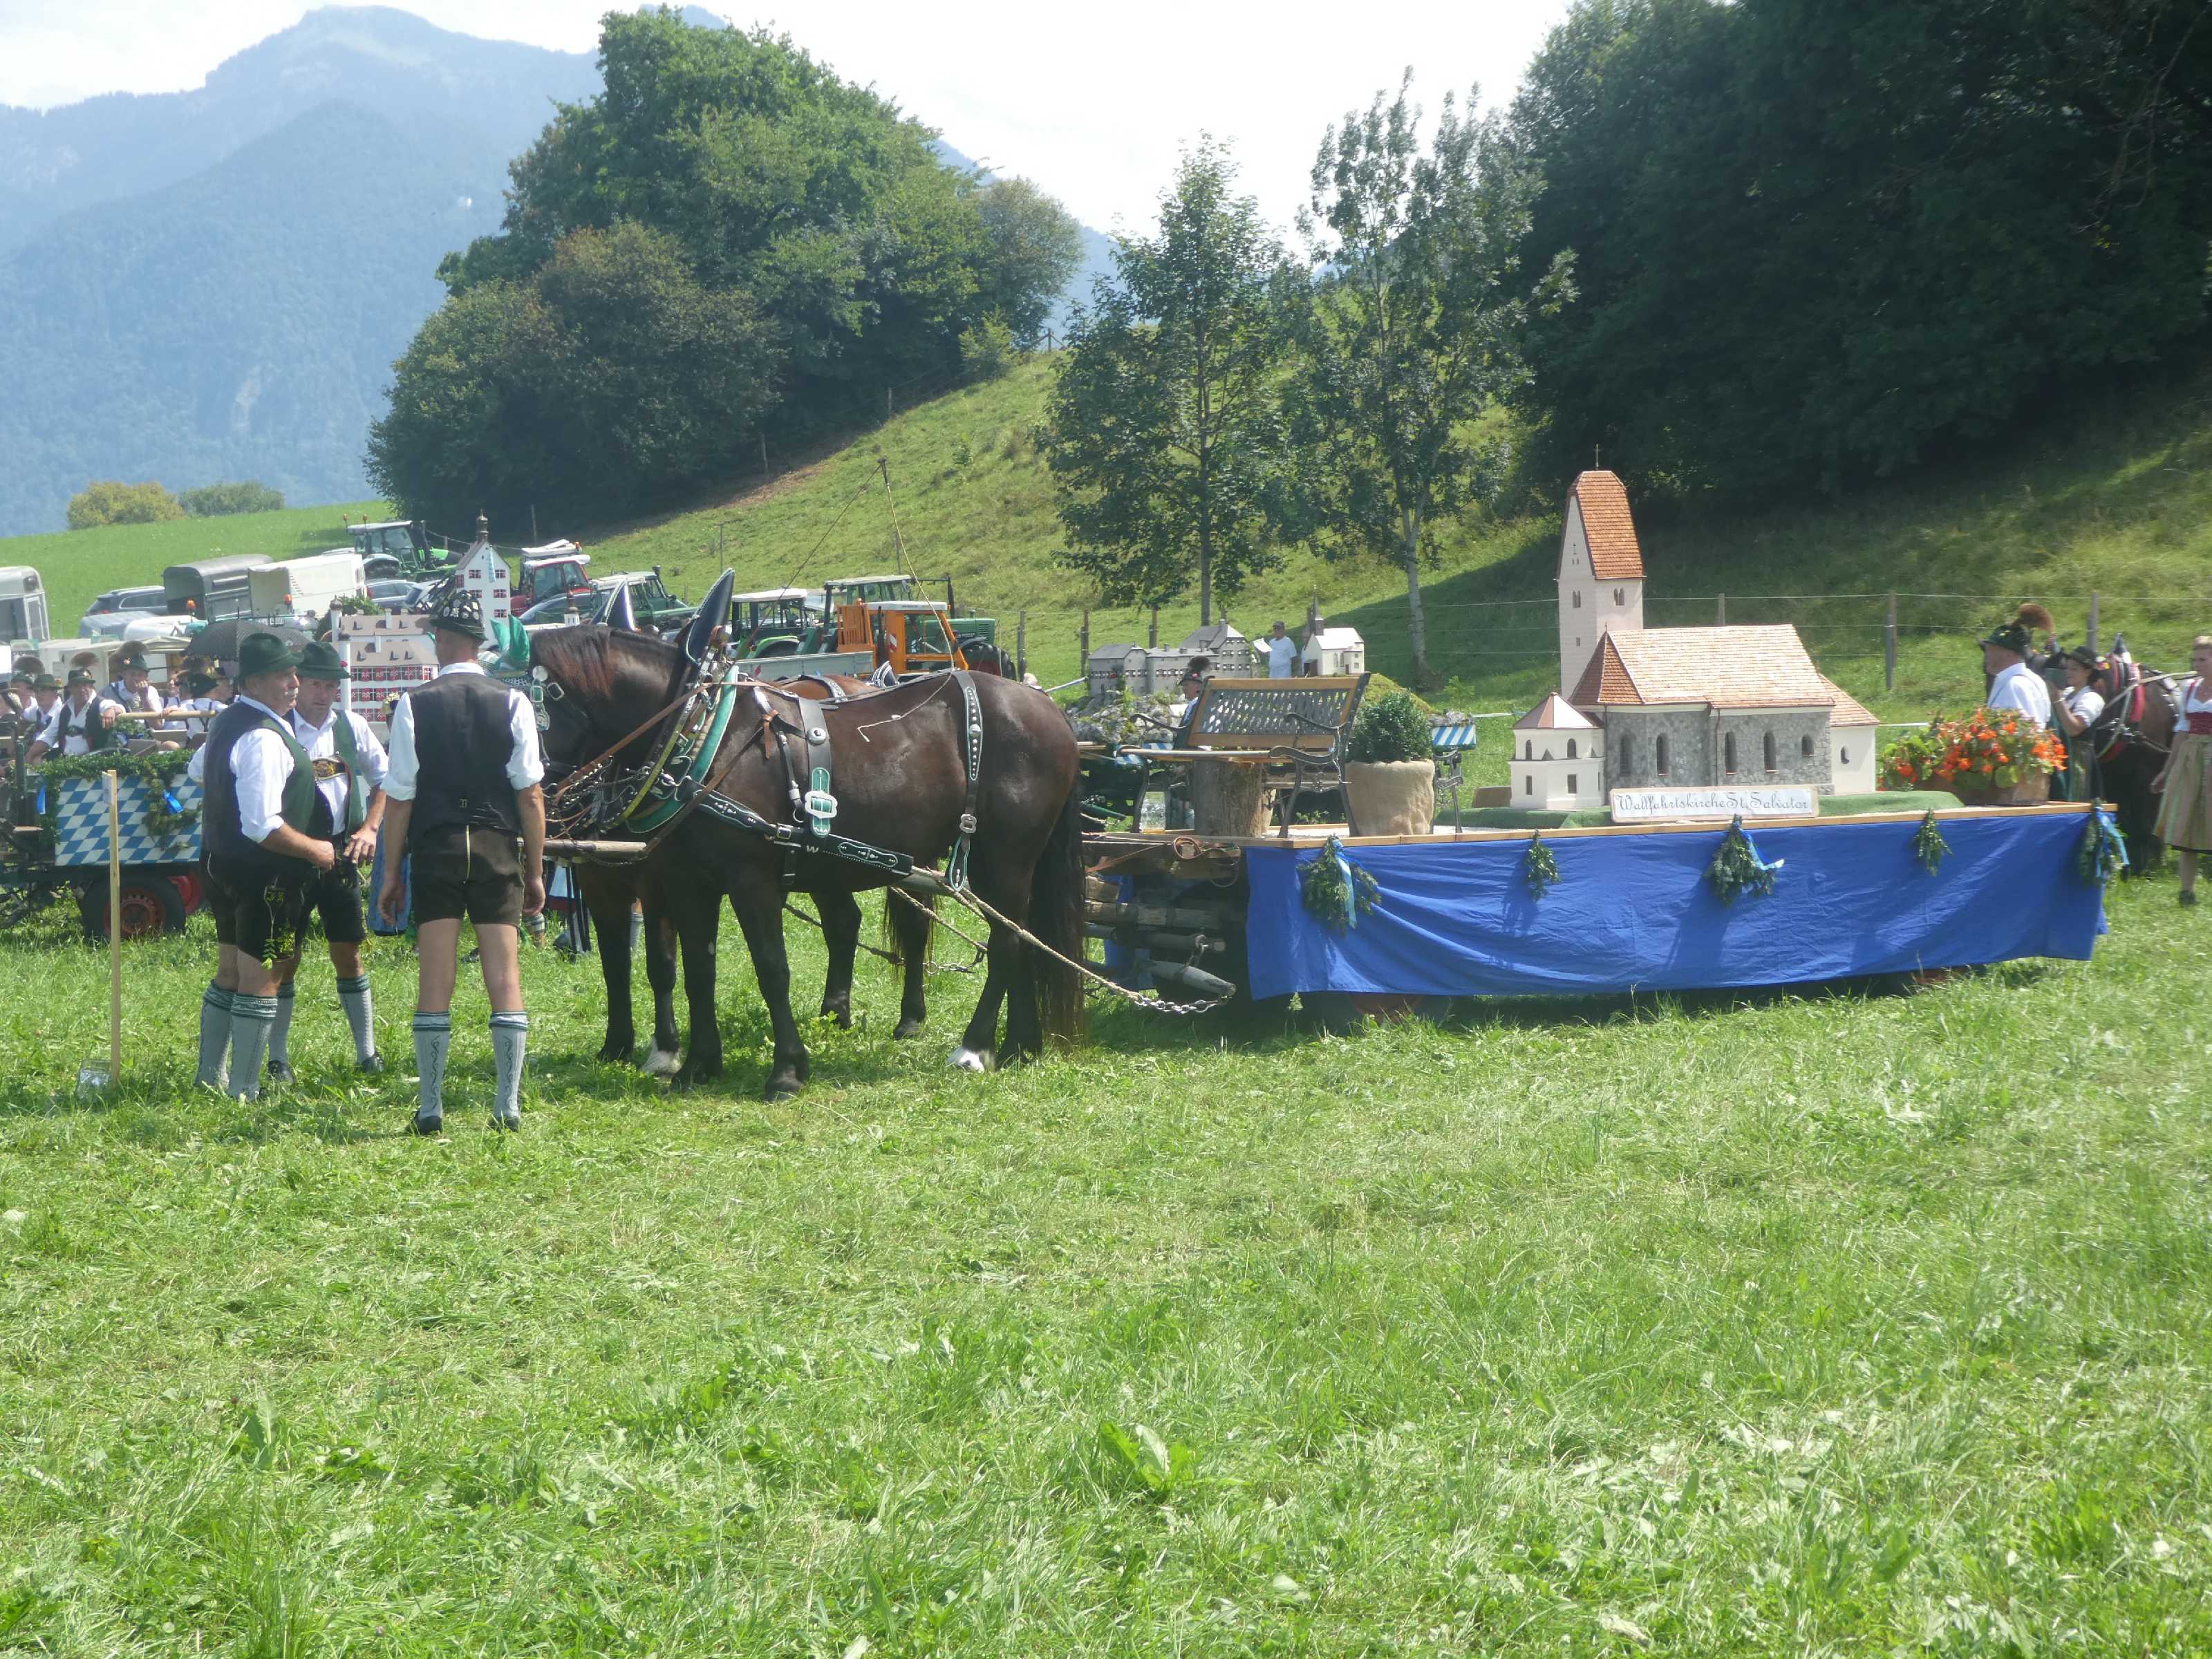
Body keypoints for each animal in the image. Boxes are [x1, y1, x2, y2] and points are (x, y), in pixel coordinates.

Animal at [531, 624, 1084, 1097]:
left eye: (531, 712)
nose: (539, 811)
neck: (705, 739)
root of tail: (1047, 706)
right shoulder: (688, 884)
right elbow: (696, 971)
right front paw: (698, 1065)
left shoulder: (749, 880)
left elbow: (772, 969)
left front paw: (787, 1071)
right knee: (1019, 935)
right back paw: (1019, 1046)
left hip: (1006, 856)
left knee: (1004, 940)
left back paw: (973, 1046)